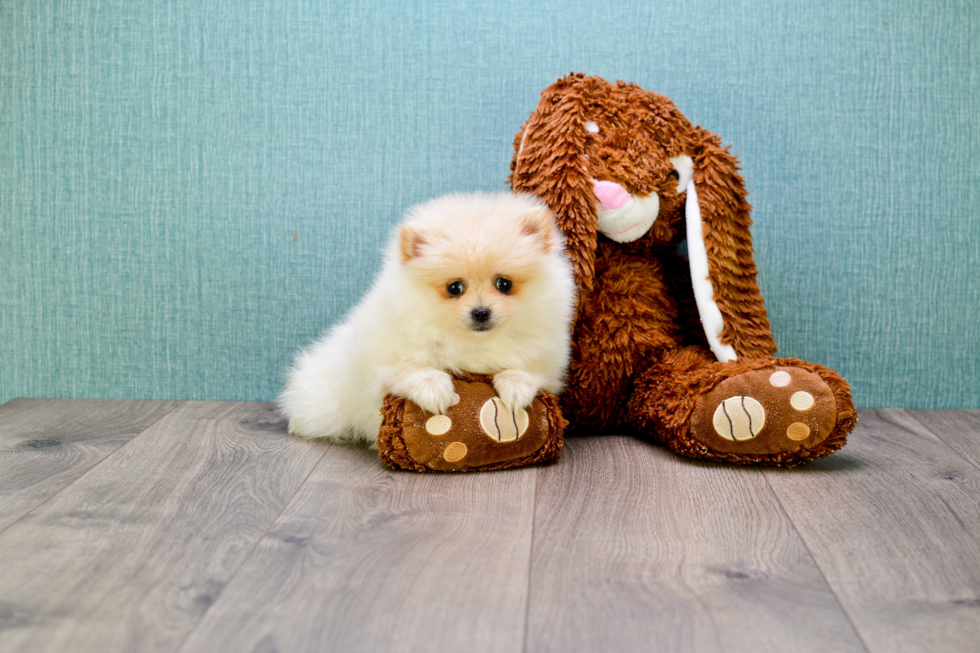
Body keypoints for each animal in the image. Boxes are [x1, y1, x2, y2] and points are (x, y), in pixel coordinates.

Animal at [280, 190, 580, 444]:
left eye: (504, 284)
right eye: (454, 287)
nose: (481, 312)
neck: (471, 343)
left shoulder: (548, 359)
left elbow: (528, 369)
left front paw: (516, 388)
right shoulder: (384, 361)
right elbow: (410, 367)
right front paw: (434, 390)